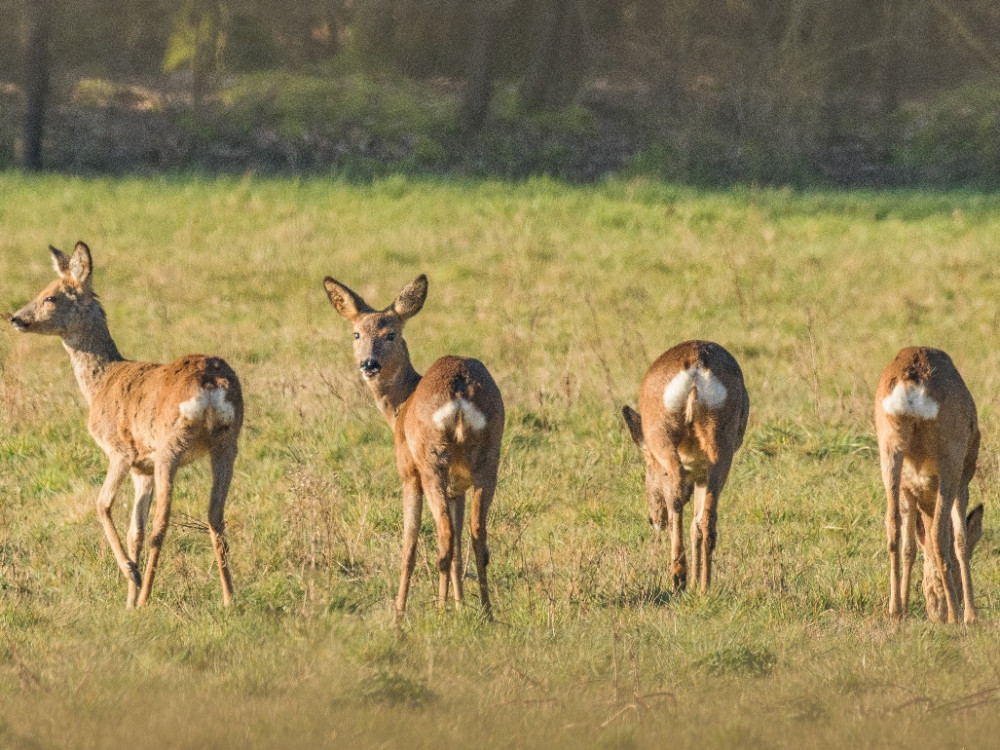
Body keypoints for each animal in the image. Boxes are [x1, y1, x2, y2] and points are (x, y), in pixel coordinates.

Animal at [9, 245, 242, 612]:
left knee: (163, 520)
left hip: (170, 446)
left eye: (51, 296)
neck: (101, 381)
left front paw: (131, 578)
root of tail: (212, 383)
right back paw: (229, 598)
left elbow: (102, 504)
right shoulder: (140, 469)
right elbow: (135, 529)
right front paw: (129, 601)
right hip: (228, 443)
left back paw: (147, 595)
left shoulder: (119, 452)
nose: (16, 318)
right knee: (215, 515)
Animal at [324, 274, 504, 624]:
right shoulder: (458, 488)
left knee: (444, 539)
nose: (369, 364)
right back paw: (487, 614)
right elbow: (460, 545)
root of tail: (459, 390)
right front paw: (460, 605)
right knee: (477, 536)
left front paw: (399, 615)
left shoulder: (407, 473)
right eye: (357, 333)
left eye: (391, 334)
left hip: (430, 460)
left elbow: (409, 544)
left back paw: (439, 614)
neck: (400, 406)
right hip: (489, 457)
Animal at [620, 340, 748, 592]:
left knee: (677, 494)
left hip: (662, 434)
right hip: (720, 446)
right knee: (707, 518)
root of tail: (696, 363)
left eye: (644, 477)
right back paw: (704, 587)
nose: (653, 520)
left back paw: (679, 576)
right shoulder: (701, 474)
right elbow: (695, 523)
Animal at [876, 346, 984, 624]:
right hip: (950, 460)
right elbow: (960, 541)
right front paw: (971, 615)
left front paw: (904, 607)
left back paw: (895, 610)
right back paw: (957, 616)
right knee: (938, 534)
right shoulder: (962, 483)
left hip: (889, 452)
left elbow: (910, 547)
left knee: (892, 527)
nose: (938, 612)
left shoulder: (909, 490)